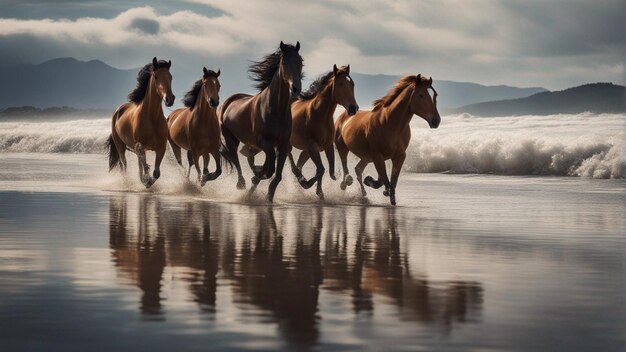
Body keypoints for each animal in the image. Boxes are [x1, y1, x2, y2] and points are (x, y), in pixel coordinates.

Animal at [105, 57, 173, 188]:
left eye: (170, 76)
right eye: (156, 76)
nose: (170, 99)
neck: (152, 118)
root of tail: (118, 110)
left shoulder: (161, 148)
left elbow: (156, 173)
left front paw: (148, 182)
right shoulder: (140, 145)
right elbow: (144, 164)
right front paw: (146, 180)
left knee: (137, 163)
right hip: (120, 146)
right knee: (124, 164)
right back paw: (127, 183)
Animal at [219, 41, 302, 201]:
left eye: (300, 62)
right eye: (284, 62)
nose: (296, 89)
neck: (276, 109)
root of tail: (226, 103)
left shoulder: (282, 145)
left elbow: (276, 175)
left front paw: (268, 194)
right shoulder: (263, 141)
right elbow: (270, 170)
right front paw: (255, 176)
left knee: (247, 155)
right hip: (231, 138)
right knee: (235, 157)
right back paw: (241, 183)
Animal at [286, 64, 356, 199]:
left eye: (352, 84)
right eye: (340, 84)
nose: (353, 108)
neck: (319, 114)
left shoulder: (327, 145)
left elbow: (329, 169)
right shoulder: (312, 145)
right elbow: (321, 169)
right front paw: (317, 190)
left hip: (307, 150)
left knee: (300, 161)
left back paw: (301, 183)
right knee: (291, 159)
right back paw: (301, 179)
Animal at [336, 75, 438, 206]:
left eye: (435, 95)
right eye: (421, 95)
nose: (436, 120)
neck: (390, 123)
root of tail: (344, 115)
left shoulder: (399, 156)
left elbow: (391, 180)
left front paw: (384, 190)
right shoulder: (377, 156)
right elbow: (384, 178)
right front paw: (373, 183)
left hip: (366, 157)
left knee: (358, 169)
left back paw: (363, 193)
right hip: (342, 147)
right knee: (345, 165)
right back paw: (345, 184)